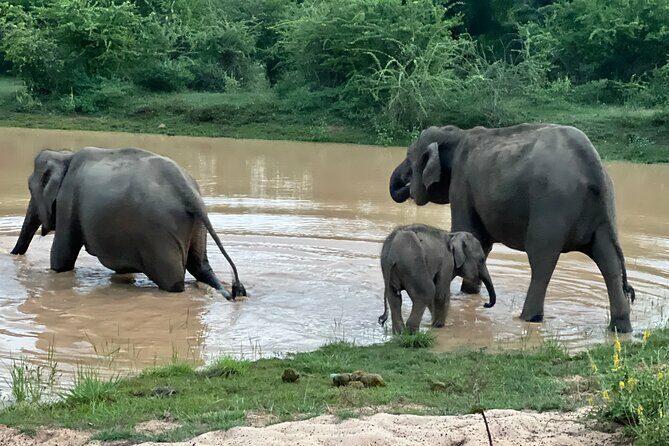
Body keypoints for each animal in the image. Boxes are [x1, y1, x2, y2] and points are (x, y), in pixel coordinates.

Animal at [11, 147, 246, 299]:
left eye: (30, 188)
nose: (13, 256)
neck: (65, 155)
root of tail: (188, 190)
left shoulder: (68, 201)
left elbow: (62, 258)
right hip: (195, 225)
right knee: (201, 267)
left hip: (160, 234)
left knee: (173, 281)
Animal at [389, 124, 635, 332]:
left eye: (409, 158)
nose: (404, 186)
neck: (457, 134)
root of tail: (593, 166)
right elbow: (482, 243)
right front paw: (469, 295)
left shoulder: (461, 183)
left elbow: (468, 231)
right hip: (604, 211)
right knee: (609, 261)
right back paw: (620, 328)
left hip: (552, 206)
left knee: (542, 261)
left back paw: (528, 318)